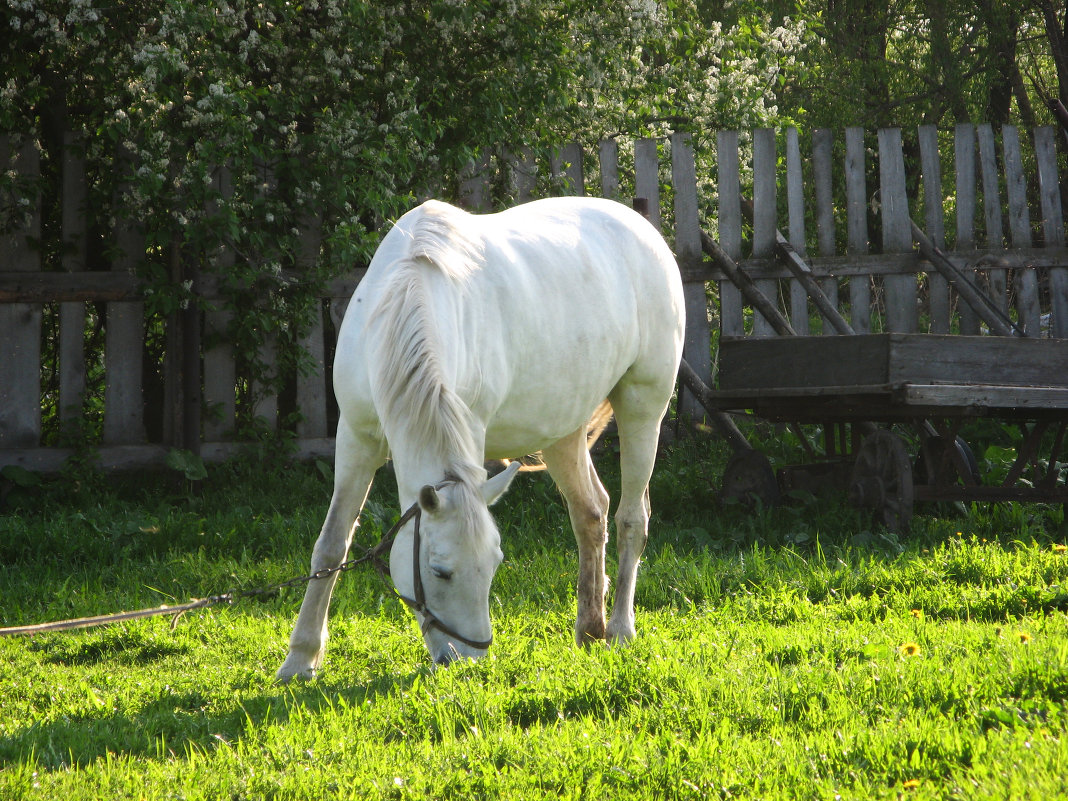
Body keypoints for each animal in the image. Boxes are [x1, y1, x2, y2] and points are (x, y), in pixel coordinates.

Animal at [275, 194, 683, 679]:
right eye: (440, 571)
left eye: (494, 566)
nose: (465, 660)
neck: (407, 293)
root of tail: (644, 229)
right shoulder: (356, 439)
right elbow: (332, 546)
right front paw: (300, 659)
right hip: (562, 430)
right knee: (591, 512)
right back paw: (589, 628)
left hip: (643, 409)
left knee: (630, 518)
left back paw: (620, 628)